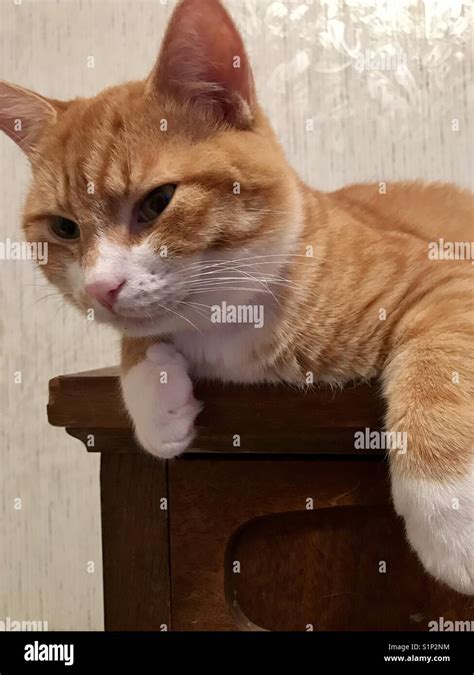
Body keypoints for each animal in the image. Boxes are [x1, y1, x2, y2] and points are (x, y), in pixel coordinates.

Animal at [0, 0, 472, 596]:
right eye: (64, 228)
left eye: (157, 202)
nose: (101, 288)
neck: (228, 323)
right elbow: (138, 340)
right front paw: (155, 398)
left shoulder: (446, 276)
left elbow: (439, 361)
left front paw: (447, 509)